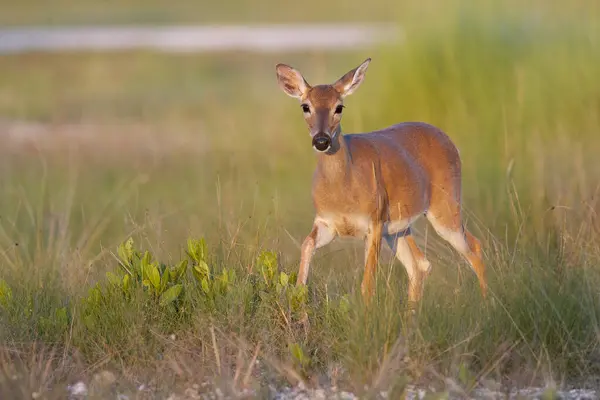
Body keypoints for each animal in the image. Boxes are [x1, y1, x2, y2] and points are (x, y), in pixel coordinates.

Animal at [276, 57, 488, 304]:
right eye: (305, 106)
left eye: (339, 107)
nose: (321, 141)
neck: (344, 189)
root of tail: (449, 141)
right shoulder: (326, 223)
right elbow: (306, 246)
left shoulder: (374, 222)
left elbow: (367, 284)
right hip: (399, 228)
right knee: (420, 264)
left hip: (445, 206)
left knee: (474, 247)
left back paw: (487, 304)